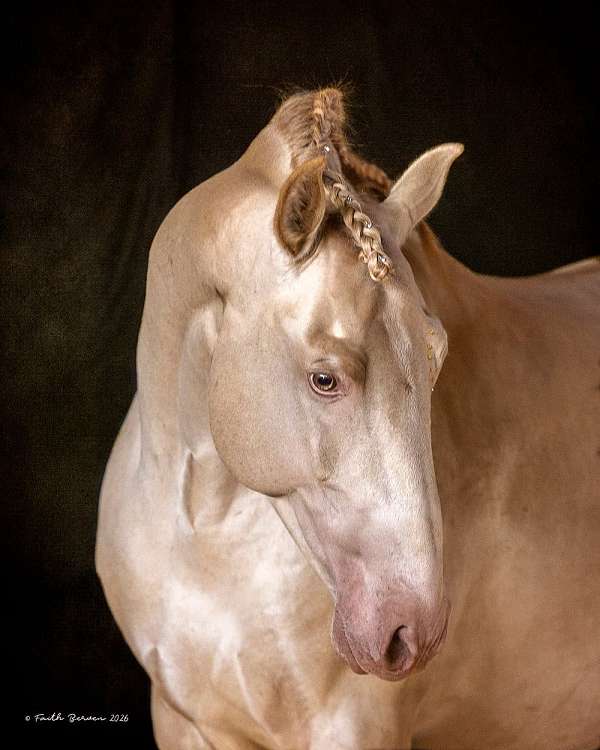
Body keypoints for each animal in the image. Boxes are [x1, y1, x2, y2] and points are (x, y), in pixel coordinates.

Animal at [96, 88, 600, 749]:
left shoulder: (350, 729)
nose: (410, 631)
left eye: (437, 358)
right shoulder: (183, 723)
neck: (204, 536)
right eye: (325, 378)